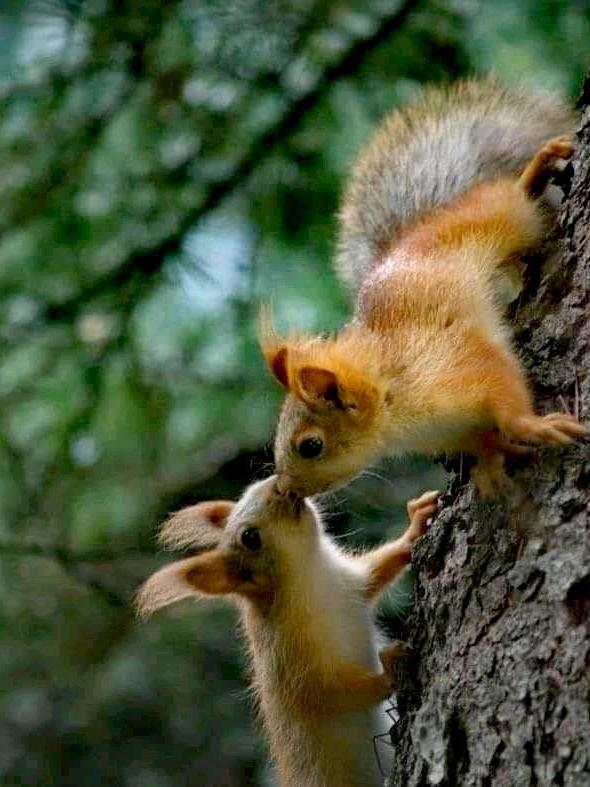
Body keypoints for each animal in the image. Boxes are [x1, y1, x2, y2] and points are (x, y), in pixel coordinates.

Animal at [136, 477, 439, 787]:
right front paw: (390, 668)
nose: (279, 486)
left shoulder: (351, 582)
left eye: (248, 491)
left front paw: (415, 526)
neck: (310, 573)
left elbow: (377, 572)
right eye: (250, 537)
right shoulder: (289, 661)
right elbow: (327, 692)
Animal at [261, 78, 586, 498]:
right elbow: (480, 441)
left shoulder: (457, 366)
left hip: (497, 216)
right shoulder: (451, 432)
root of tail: (425, 221)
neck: (392, 401)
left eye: (311, 445)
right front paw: (490, 460)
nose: (284, 489)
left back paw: (536, 170)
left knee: (509, 196)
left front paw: (532, 426)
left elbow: (501, 384)